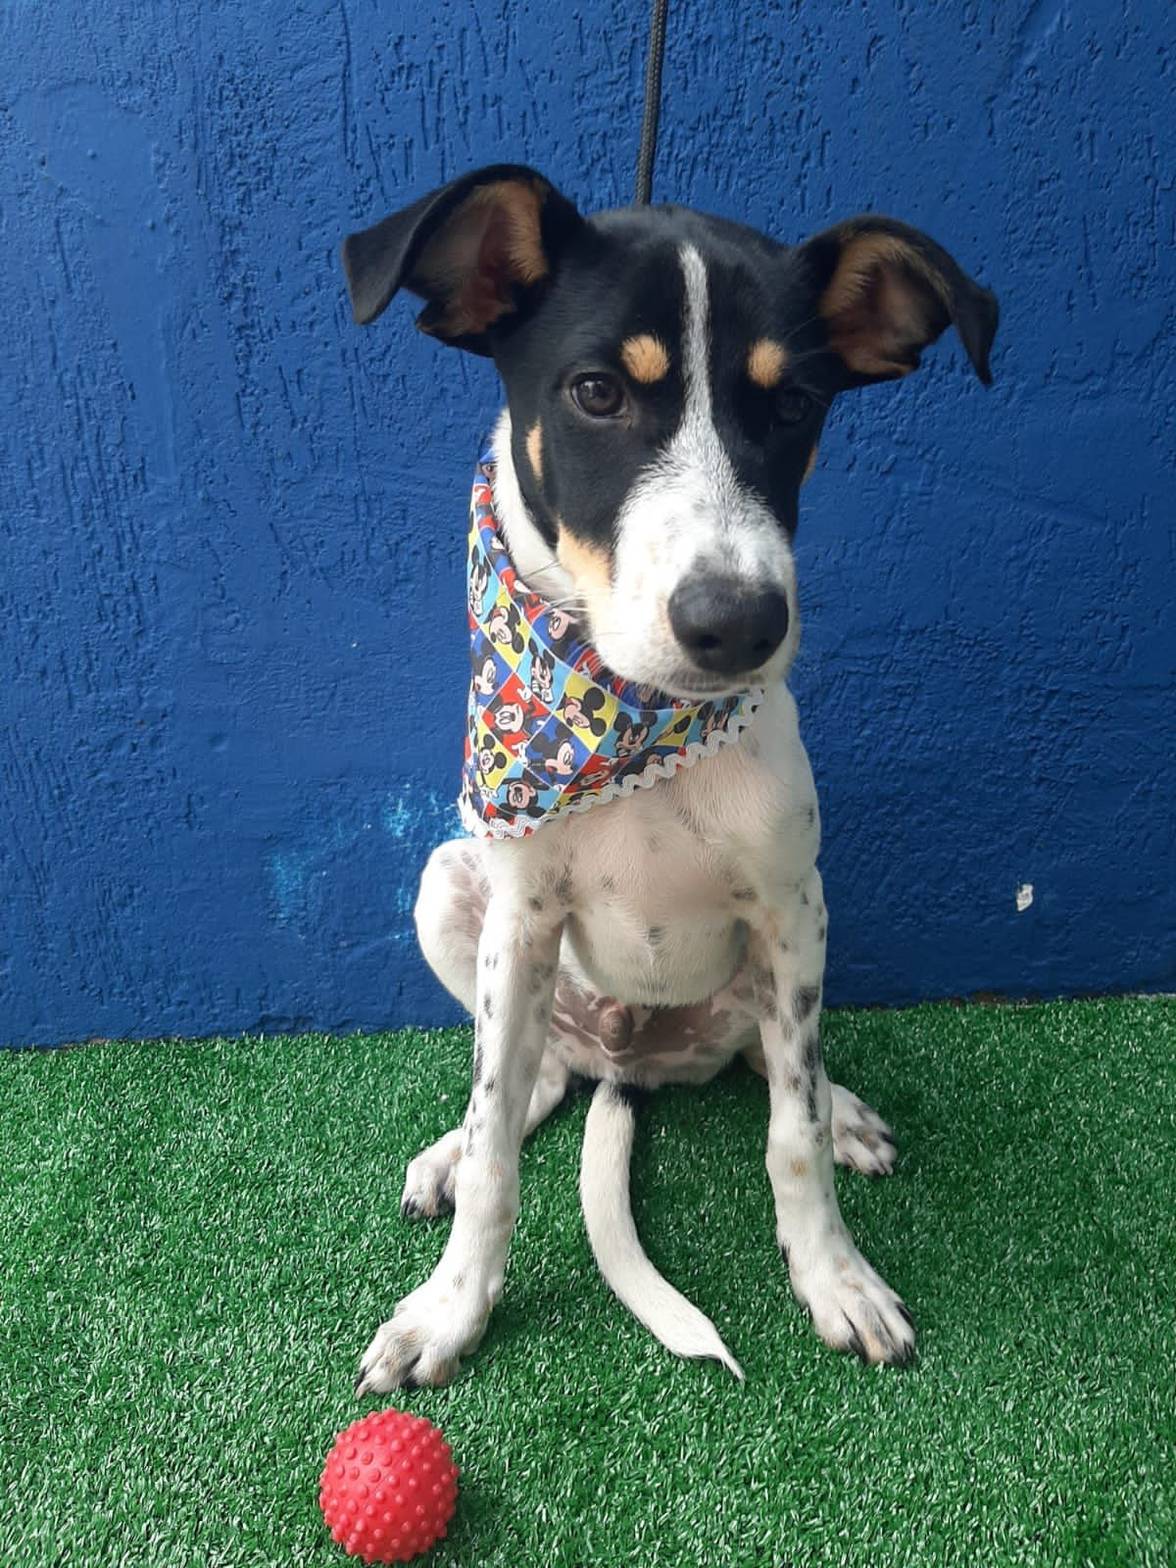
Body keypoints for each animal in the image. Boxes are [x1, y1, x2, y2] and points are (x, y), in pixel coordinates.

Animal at [341, 164, 998, 1389]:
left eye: (794, 405)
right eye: (596, 391)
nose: (739, 623)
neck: (633, 715)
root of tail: (629, 1064)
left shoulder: (788, 906)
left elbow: (792, 1137)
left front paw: (834, 1275)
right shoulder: (521, 911)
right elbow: (499, 1146)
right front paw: (451, 1307)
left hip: (794, 943)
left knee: (779, 1068)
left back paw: (844, 1108)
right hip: (458, 895)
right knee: (530, 1077)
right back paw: (455, 1145)